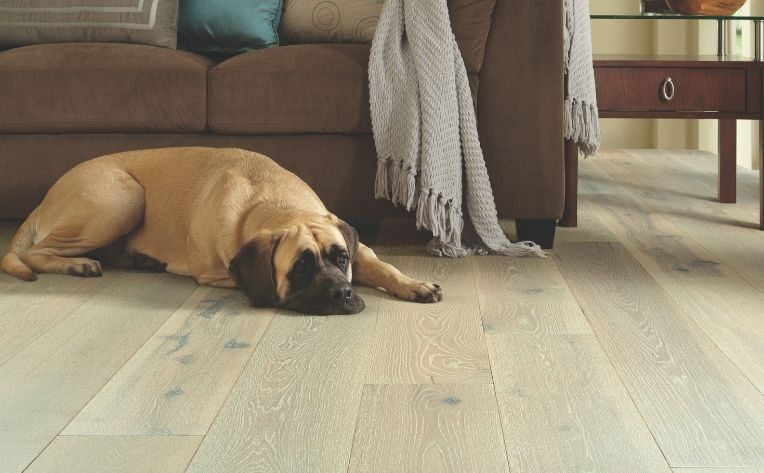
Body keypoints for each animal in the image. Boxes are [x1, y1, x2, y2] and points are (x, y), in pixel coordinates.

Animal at [1, 148, 442, 314]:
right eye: (300, 268)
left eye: (340, 258)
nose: (343, 293)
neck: (277, 204)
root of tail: (47, 195)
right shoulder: (217, 270)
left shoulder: (353, 242)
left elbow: (382, 265)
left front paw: (413, 284)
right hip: (122, 198)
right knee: (35, 252)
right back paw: (77, 265)